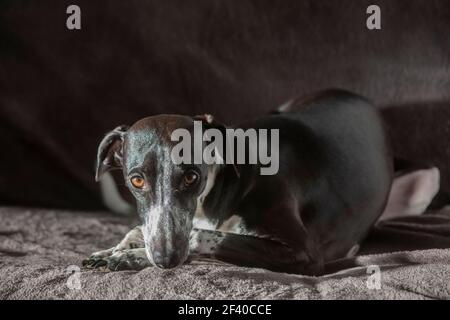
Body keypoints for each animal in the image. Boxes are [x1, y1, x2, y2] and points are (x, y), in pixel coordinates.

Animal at [81, 89, 440, 276]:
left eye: (191, 176)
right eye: (136, 180)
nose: (165, 258)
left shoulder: (304, 254)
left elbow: (201, 238)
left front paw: (130, 255)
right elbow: (142, 230)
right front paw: (118, 249)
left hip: (428, 179)